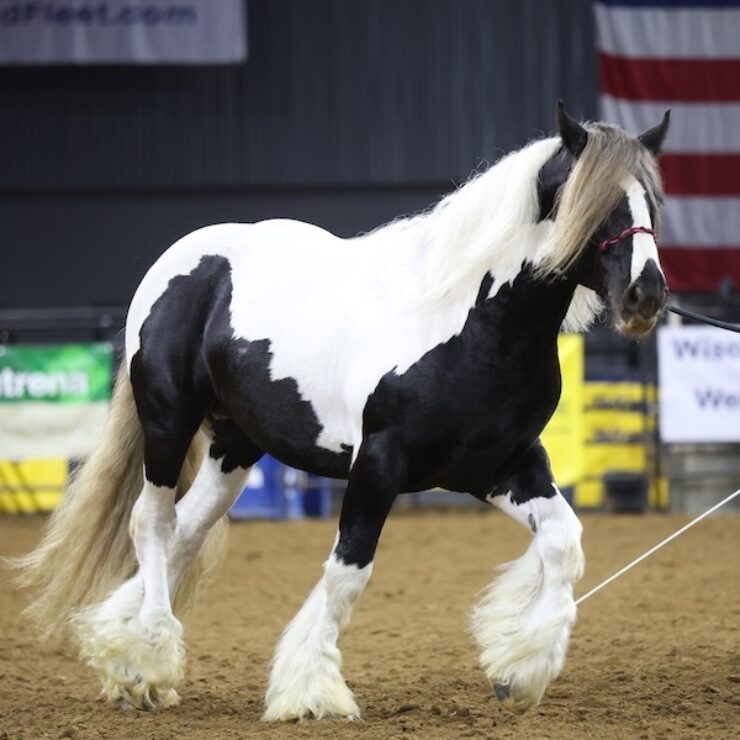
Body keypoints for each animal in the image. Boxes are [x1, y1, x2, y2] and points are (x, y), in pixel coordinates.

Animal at [13, 102, 670, 721]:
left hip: (235, 447)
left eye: (652, 202)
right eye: (595, 203)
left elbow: (564, 541)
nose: (647, 296)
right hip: (168, 422)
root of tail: (182, 260)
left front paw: (520, 667)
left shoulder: (503, 467)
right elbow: (348, 572)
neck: (472, 323)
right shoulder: (378, 465)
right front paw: (311, 692)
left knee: (187, 532)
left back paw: (124, 660)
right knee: (151, 523)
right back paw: (150, 658)